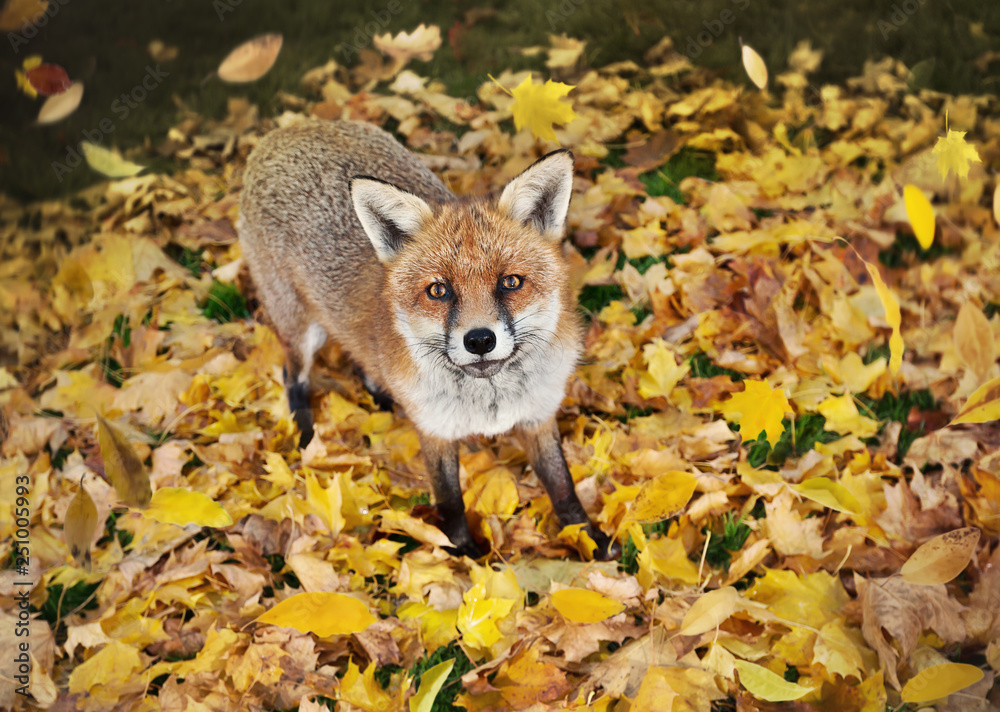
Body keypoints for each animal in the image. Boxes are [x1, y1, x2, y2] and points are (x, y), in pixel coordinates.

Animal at [238, 119, 618, 560]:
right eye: (439, 291)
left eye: (510, 282)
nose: (479, 340)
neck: (489, 404)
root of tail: (290, 127)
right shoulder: (435, 432)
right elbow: (449, 500)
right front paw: (462, 553)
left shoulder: (537, 417)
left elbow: (563, 487)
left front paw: (588, 538)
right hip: (301, 331)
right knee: (293, 378)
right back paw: (306, 435)